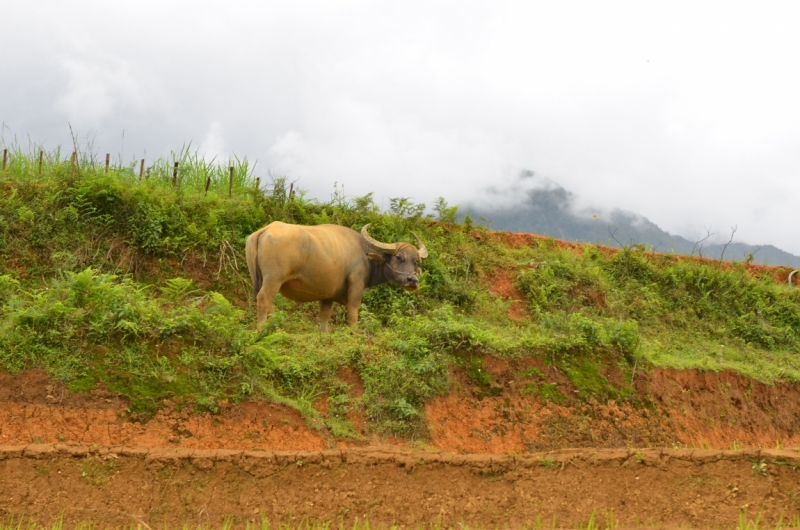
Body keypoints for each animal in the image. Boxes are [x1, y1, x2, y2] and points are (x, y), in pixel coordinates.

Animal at [245, 220, 428, 330]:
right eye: (398, 257)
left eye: (415, 261)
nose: (413, 280)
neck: (365, 254)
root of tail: (266, 229)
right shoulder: (356, 285)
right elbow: (353, 312)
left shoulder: (327, 295)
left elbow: (325, 316)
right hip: (273, 279)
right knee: (264, 299)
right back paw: (262, 329)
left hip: (260, 279)